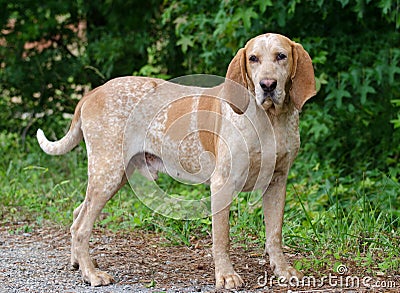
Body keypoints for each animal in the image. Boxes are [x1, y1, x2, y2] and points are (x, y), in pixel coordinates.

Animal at [37, 33, 316, 288]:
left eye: (281, 56)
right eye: (253, 59)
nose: (267, 85)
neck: (270, 119)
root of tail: (93, 92)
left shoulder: (277, 182)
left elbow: (275, 234)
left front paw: (282, 270)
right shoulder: (223, 184)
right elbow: (222, 239)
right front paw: (226, 276)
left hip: (115, 176)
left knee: (77, 213)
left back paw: (78, 263)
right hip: (108, 174)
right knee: (81, 226)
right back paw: (91, 274)